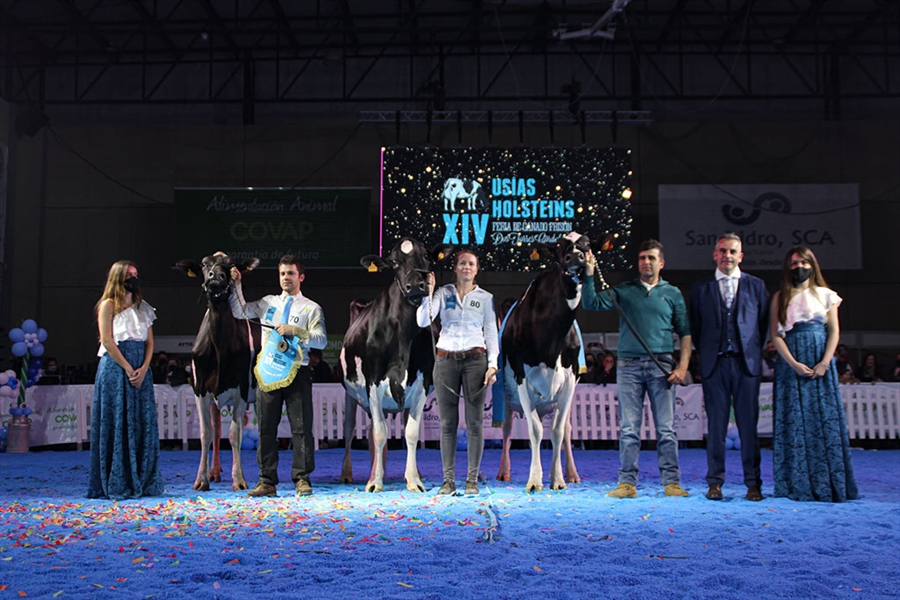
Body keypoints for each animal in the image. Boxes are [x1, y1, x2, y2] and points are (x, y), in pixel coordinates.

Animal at [176, 251, 260, 490]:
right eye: (204, 264)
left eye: (231, 265)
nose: (216, 276)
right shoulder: (200, 388)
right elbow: (206, 434)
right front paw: (201, 478)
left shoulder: (242, 389)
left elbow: (235, 434)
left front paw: (239, 479)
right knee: (216, 430)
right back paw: (214, 471)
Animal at [338, 238, 450, 492]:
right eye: (394, 263)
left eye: (426, 257)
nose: (416, 286)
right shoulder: (372, 382)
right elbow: (380, 434)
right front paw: (375, 483)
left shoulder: (421, 381)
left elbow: (411, 433)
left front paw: (414, 480)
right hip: (350, 395)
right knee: (351, 430)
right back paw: (351, 474)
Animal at [500, 232, 592, 490]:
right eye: (559, 247)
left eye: (587, 243)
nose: (575, 257)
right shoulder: (521, 376)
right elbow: (534, 430)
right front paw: (534, 480)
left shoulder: (570, 379)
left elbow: (558, 431)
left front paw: (558, 478)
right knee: (508, 429)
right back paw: (504, 471)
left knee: (567, 429)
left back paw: (572, 473)